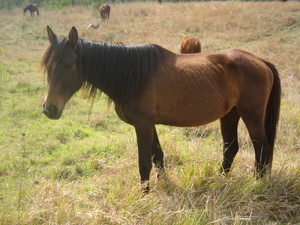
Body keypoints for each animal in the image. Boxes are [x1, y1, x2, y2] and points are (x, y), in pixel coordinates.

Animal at [42, 26, 282, 192]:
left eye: (68, 65)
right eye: (48, 66)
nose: (49, 109)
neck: (133, 75)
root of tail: (261, 61)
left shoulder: (143, 125)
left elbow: (144, 163)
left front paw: (144, 196)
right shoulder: (150, 124)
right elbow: (157, 156)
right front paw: (163, 185)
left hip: (252, 116)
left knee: (262, 150)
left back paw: (257, 185)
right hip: (230, 114)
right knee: (231, 148)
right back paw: (220, 181)